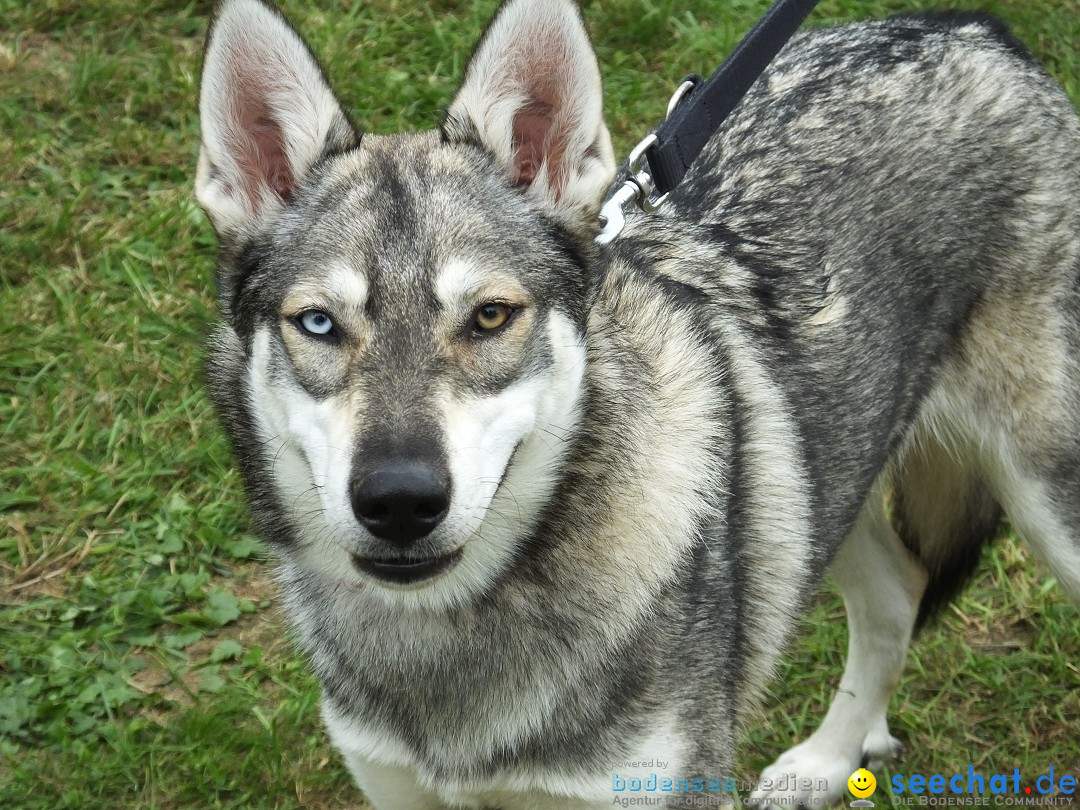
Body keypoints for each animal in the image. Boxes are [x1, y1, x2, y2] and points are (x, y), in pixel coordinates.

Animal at [194, 3, 1080, 807]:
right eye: (319, 323)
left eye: (491, 316)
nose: (401, 500)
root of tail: (974, 27)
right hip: (822, 484)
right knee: (899, 591)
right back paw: (826, 766)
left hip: (1044, 509)